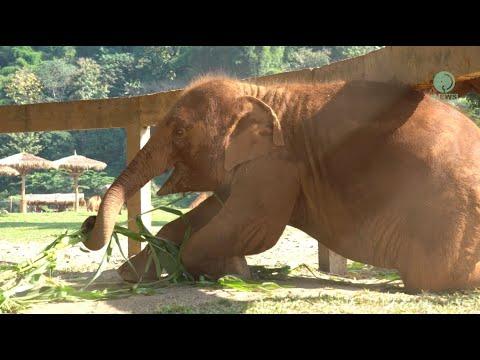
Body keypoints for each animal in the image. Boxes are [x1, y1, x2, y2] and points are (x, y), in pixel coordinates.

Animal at [82, 75, 480, 292]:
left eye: (179, 132)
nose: (86, 222)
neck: (260, 92)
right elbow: (210, 214)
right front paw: (131, 275)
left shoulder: (277, 167)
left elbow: (253, 226)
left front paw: (233, 271)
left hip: (447, 210)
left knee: (429, 274)